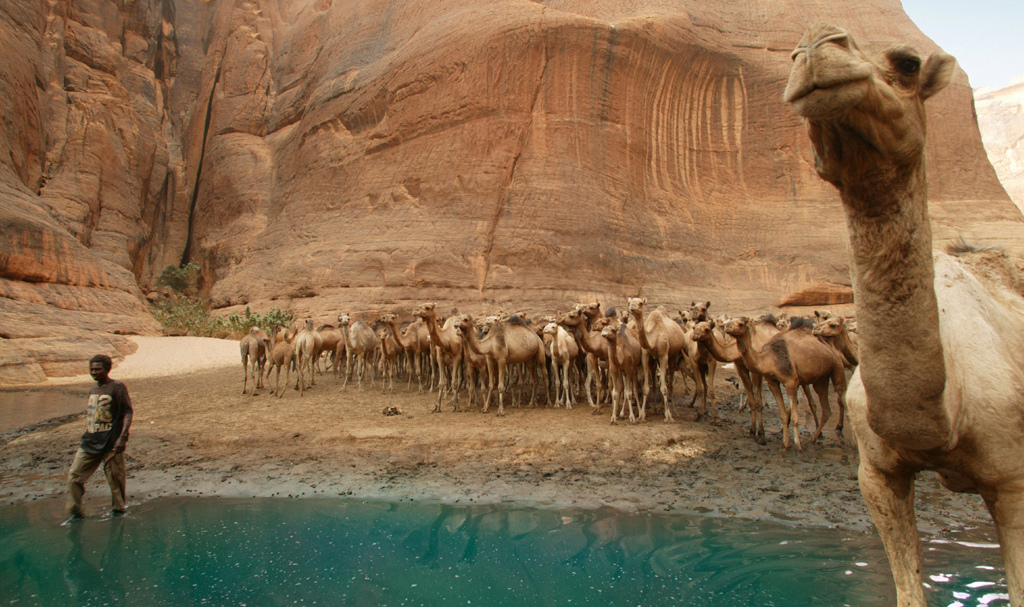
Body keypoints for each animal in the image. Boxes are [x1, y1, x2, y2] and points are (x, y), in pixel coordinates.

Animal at [782, 21, 1024, 601]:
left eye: (909, 64)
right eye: (791, 56)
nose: (815, 46)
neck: (943, 414)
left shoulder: (1014, 483)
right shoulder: (878, 476)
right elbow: (908, 590)